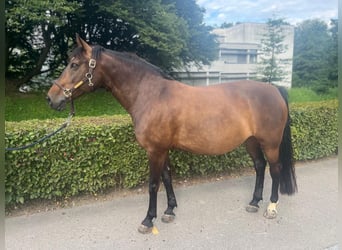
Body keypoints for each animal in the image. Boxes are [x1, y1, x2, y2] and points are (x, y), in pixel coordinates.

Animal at [46, 34, 296, 233]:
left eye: (74, 64)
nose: (51, 98)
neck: (151, 95)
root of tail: (274, 89)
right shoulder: (162, 149)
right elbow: (166, 178)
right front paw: (169, 211)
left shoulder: (155, 151)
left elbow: (153, 184)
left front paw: (148, 220)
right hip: (251, 141)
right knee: (260, 166)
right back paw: (254, 202)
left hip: (270, 143)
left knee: (275, 169)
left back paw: (271, 207)